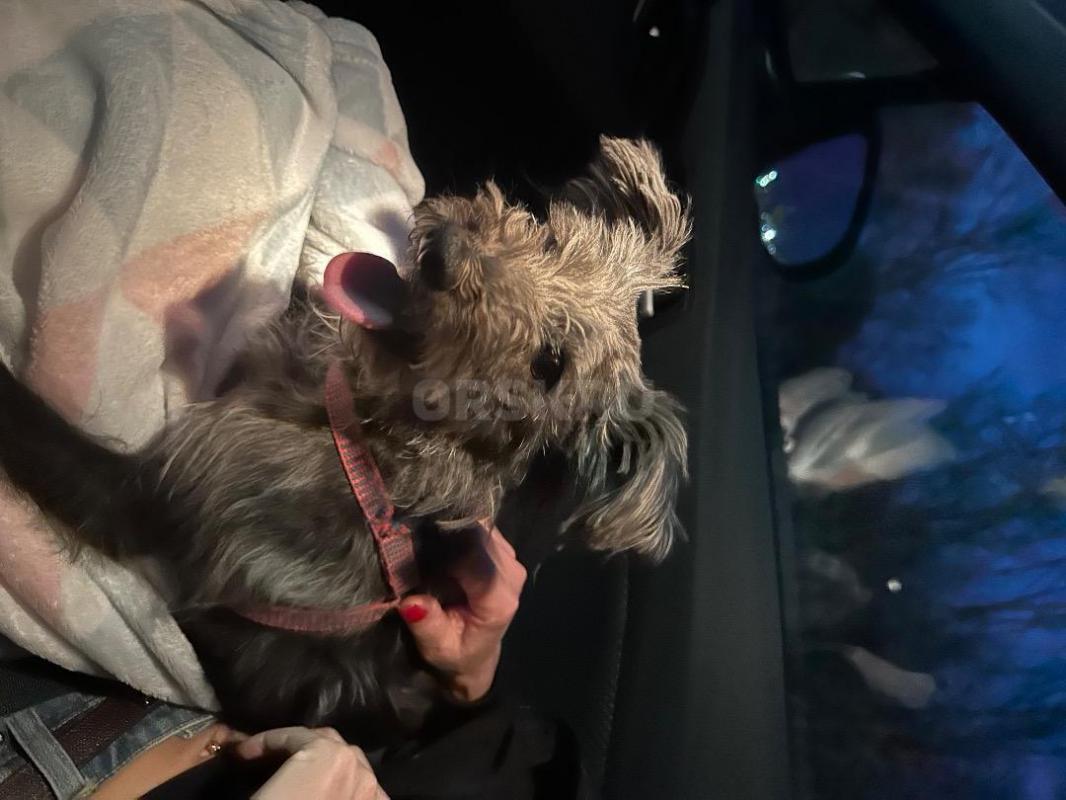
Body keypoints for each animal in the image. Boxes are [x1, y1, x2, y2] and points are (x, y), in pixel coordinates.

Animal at [0, 136, 690, 746]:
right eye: (548, 239)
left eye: (549, 365)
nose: (445, 253)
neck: (366, 433)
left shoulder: (158, 493)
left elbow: (42, 436)